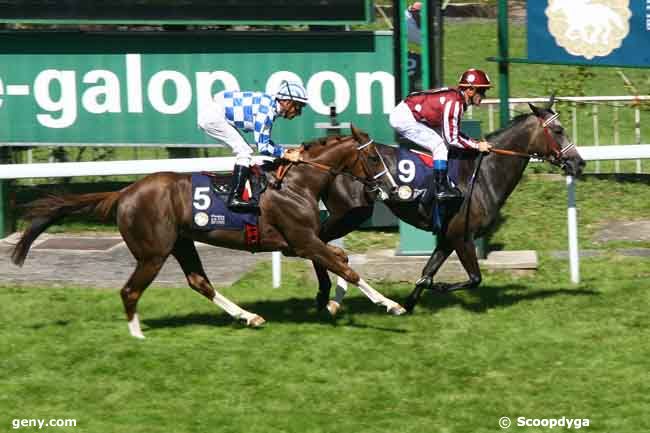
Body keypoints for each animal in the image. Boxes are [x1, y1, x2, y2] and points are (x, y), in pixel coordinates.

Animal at [11, 126, 404, 340]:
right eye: (373, 158)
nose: (391, 187)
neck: (295, 183)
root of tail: (123, 192)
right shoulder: (302, 240)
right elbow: (345, 267)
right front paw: (390, 305)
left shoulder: (300, 243)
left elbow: (338, 260)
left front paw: (329, 302)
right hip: (153, 253)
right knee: (129, 290)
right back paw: (137, 335)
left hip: (182, 243)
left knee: (199, 281)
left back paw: (248, 316)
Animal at [312, 99, 584, 312]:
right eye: (558, 130)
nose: (579, 163)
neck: (483, 174)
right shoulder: (461, 236)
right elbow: (474, 278)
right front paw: (439, 287)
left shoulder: (446, 235)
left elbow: (427, 271)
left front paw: (407, 305)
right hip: (348, 214)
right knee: (318, 243)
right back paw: (326, 294)